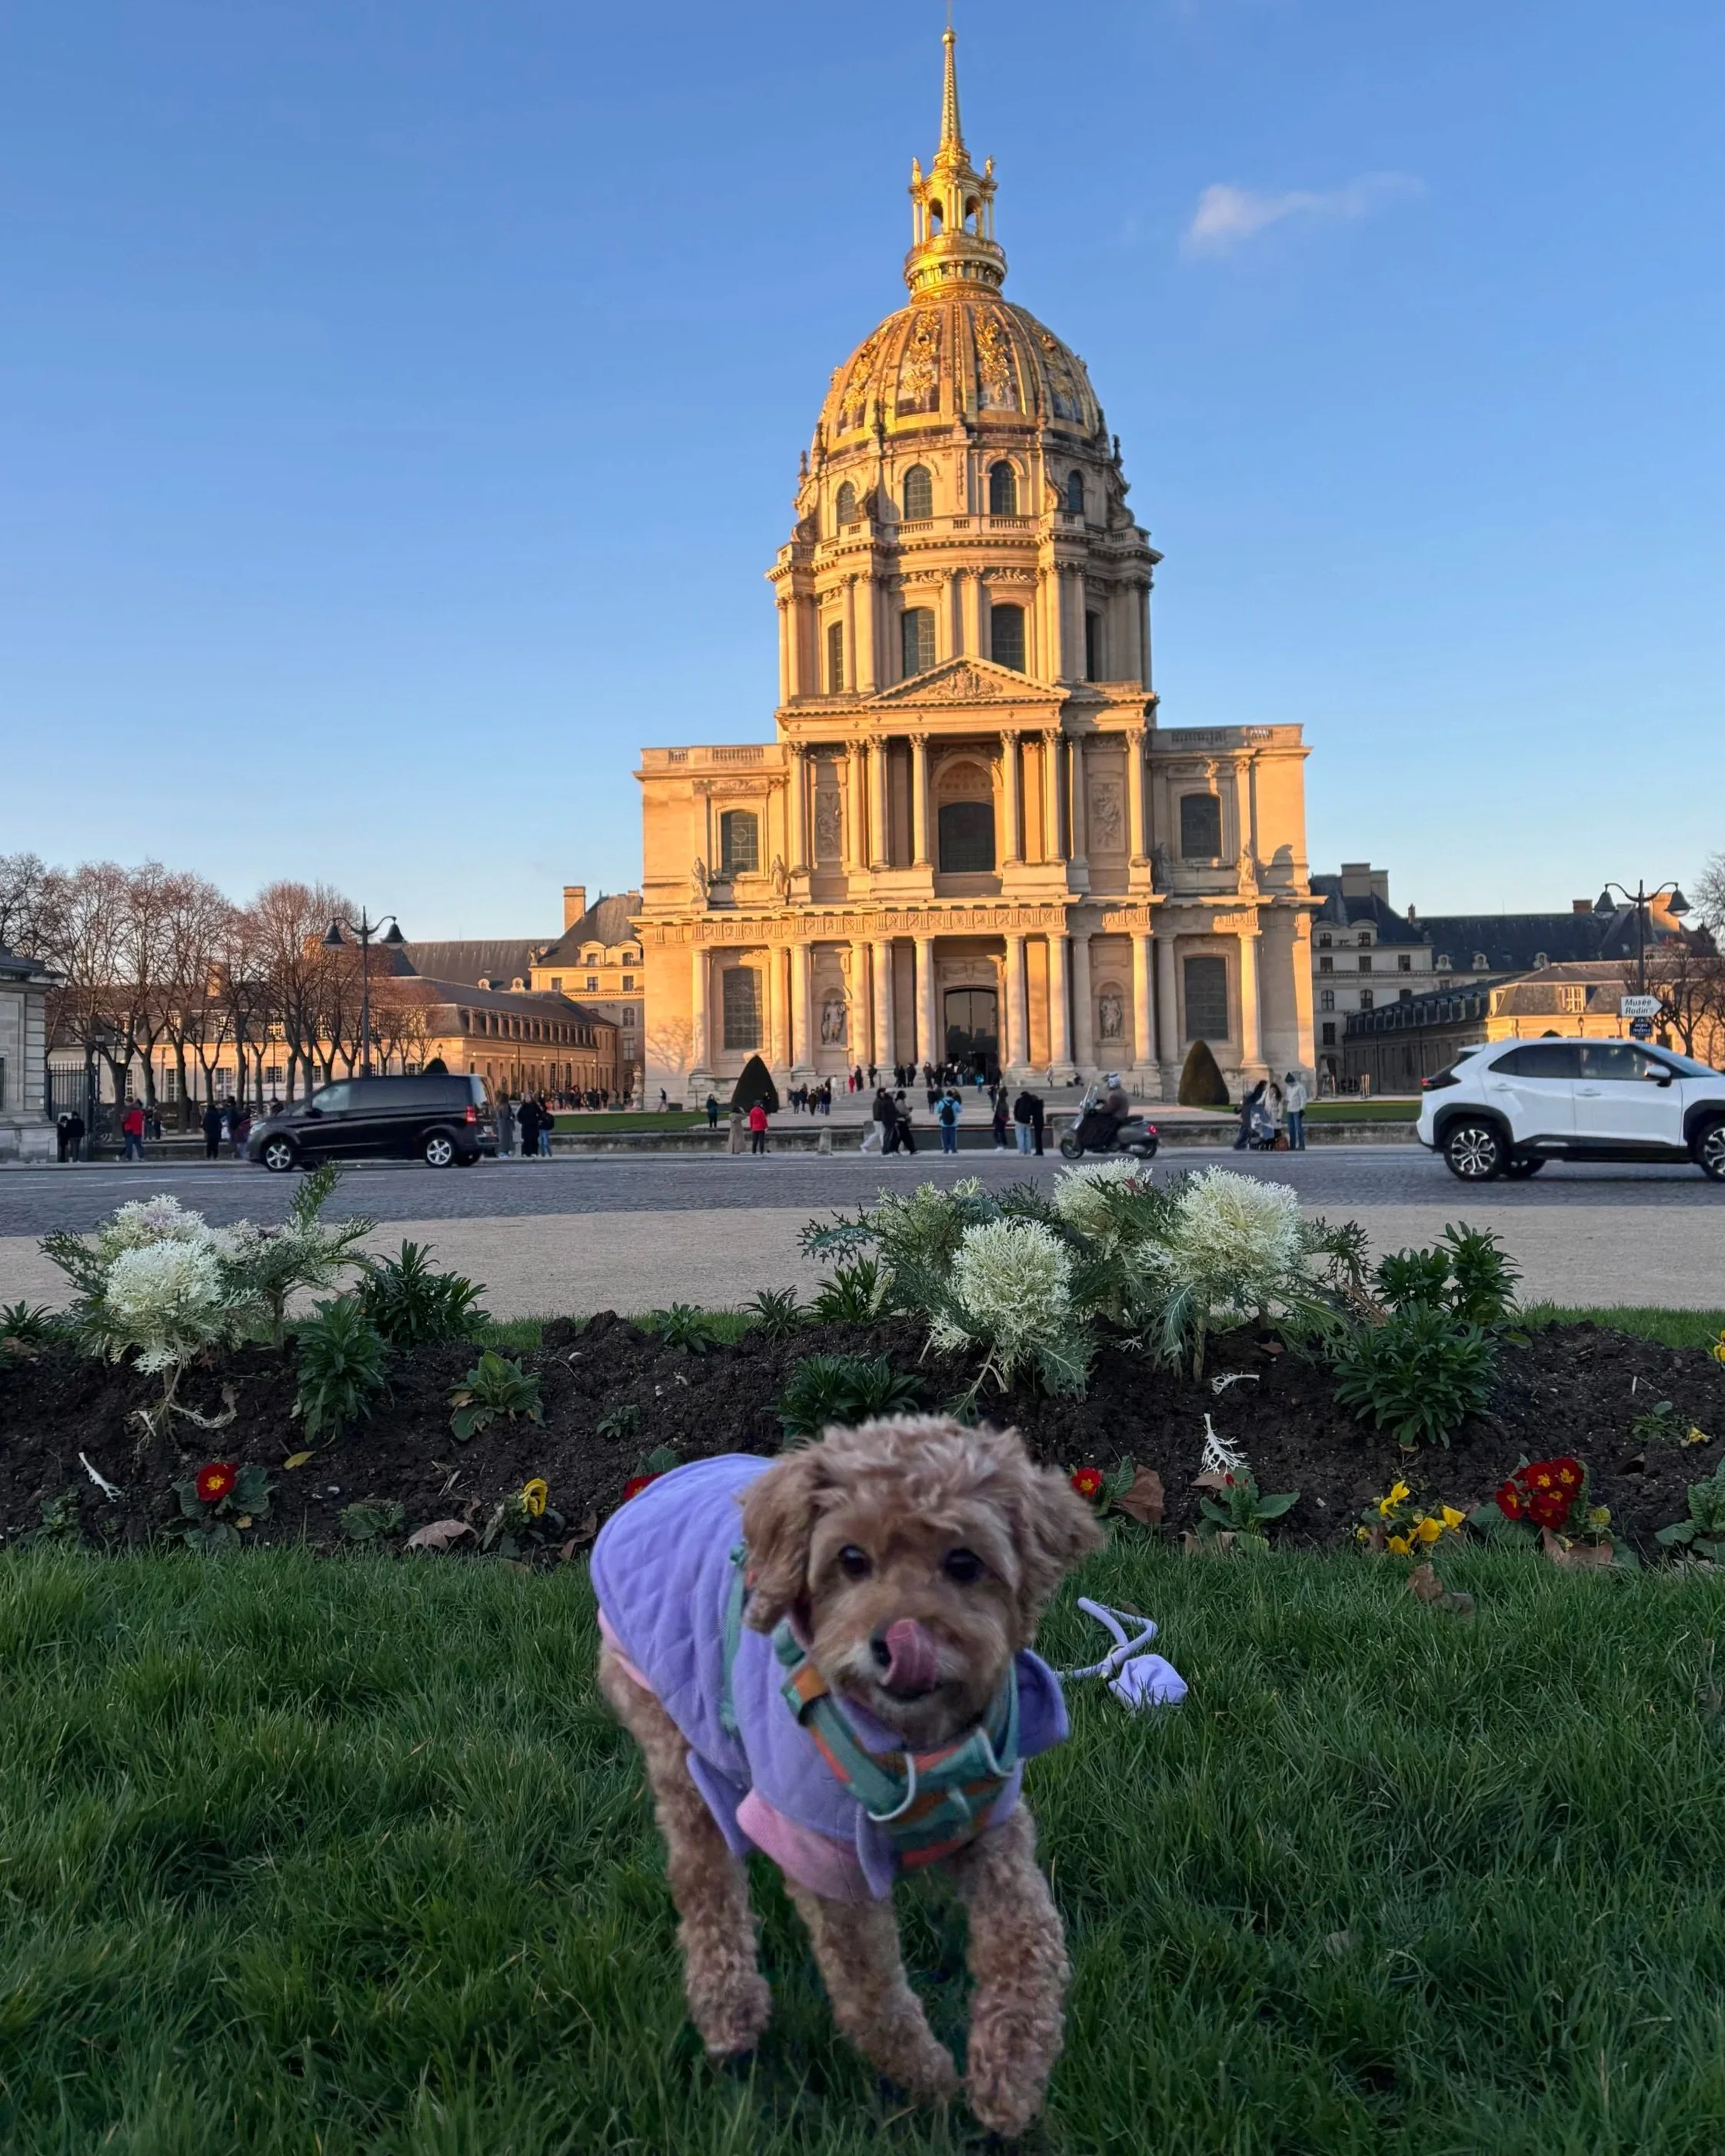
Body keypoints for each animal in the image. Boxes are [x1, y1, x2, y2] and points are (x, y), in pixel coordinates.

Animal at [592, 1413, 1103, 2136]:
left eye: (964, 1562)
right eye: (851, 1559)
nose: (897, 1642)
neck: (919, 1746)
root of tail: (663, 1481)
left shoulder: (994, 1831)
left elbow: (1028, 1941)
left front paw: (1010, 2074)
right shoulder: (827, 1858)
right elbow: (870, 1994)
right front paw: (929, 2080)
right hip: (670, 1735)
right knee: (704, 1878)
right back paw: (728, 2008)